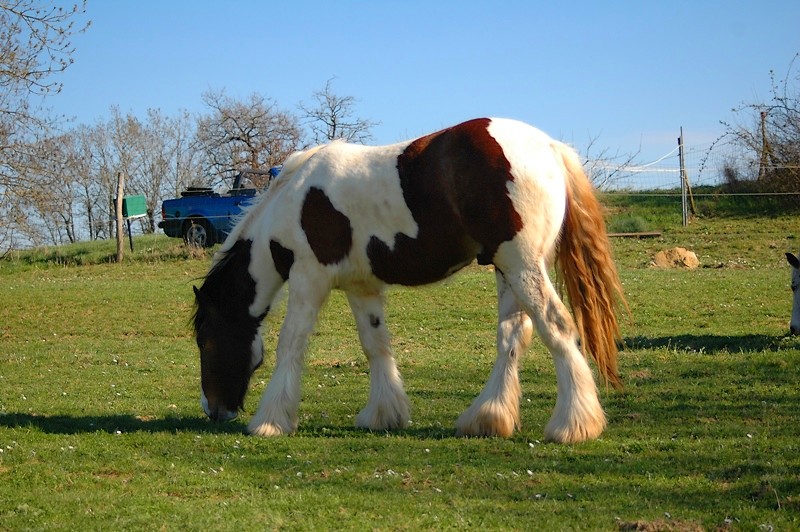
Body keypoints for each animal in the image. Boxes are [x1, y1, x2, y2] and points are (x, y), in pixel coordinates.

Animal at [192, 118, 624, 442]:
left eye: (205, 339)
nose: (213, 410)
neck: (294, 204)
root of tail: (550, 147)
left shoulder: (307, 281)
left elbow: (290, 346)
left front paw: (270, 421)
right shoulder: (361, 288)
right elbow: (375, 346)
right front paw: (384, 414)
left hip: (522, 265)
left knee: (557, 326)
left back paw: (572, 425)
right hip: (508, 269)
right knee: (512, 337)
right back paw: (487, 419)